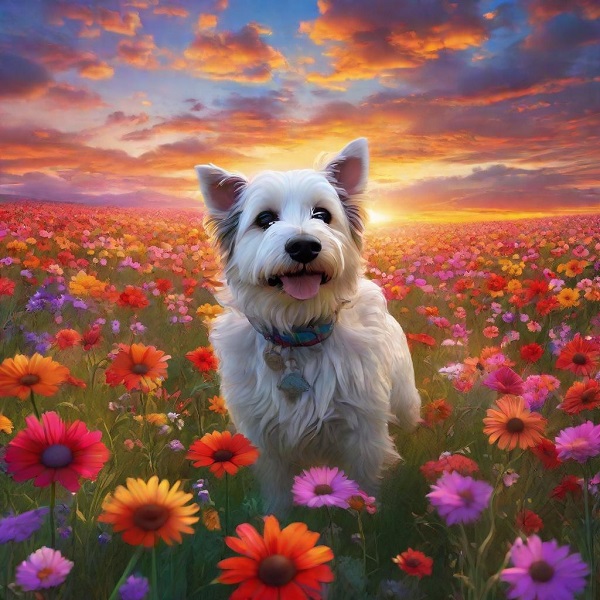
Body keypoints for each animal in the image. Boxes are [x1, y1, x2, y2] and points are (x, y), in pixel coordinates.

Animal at [195, 138, 420, 512]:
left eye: (323, 215)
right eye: (265, 219)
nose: (303, 246)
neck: (298, 335)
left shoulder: (365, 435)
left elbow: (364, 492)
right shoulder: (265, 442)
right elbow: (278, 501)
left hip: (404, 399)